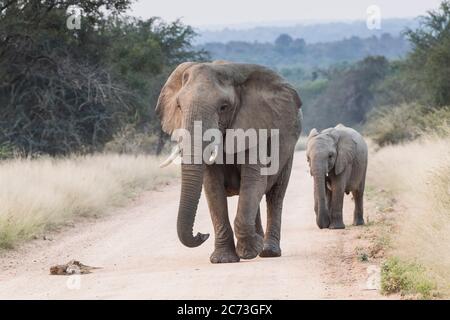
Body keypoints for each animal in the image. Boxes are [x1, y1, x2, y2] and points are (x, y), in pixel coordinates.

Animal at [156, 60, 302, 262]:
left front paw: (248, 251)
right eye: (178, 106)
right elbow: (213, 186)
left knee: (275, 195)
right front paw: (223, 259)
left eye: (223, 107)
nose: (201, 234)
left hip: (289, 152)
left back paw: (268, 251)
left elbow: (254, 180)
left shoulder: (254, 126)